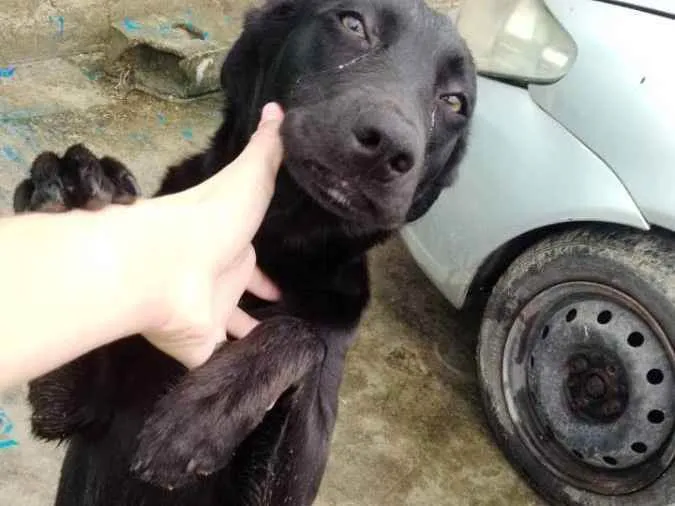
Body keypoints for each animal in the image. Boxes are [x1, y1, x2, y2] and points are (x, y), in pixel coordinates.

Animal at [10, 1, 476, 504]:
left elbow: (301, 336)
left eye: (455, 102)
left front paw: (202, 414)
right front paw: (73, 182)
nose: (388, 145)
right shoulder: (70, 409)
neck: (273, 243)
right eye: (353, 23)